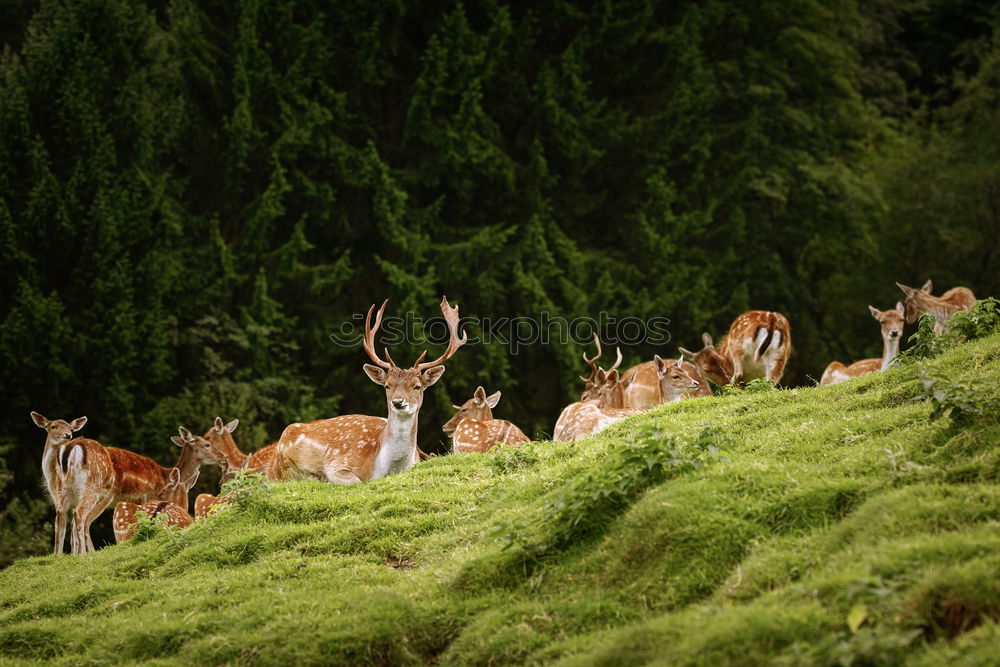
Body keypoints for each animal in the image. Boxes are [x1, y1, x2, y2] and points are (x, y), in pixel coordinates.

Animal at [33, 410, 225, 556]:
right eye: (207, 444)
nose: (223, 456)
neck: (166, 474)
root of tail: (70, 448)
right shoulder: (148, 496)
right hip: (93, 489)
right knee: (81, 517)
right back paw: (84, 555)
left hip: (65, 492)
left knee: (62, 518)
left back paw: (61, 556)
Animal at [268, 298, 466, 486]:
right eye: (387, 385)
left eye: (417, 386)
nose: (398, 402)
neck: (389, 467)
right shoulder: (336, 464)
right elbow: (356, 481)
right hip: (282, 468)